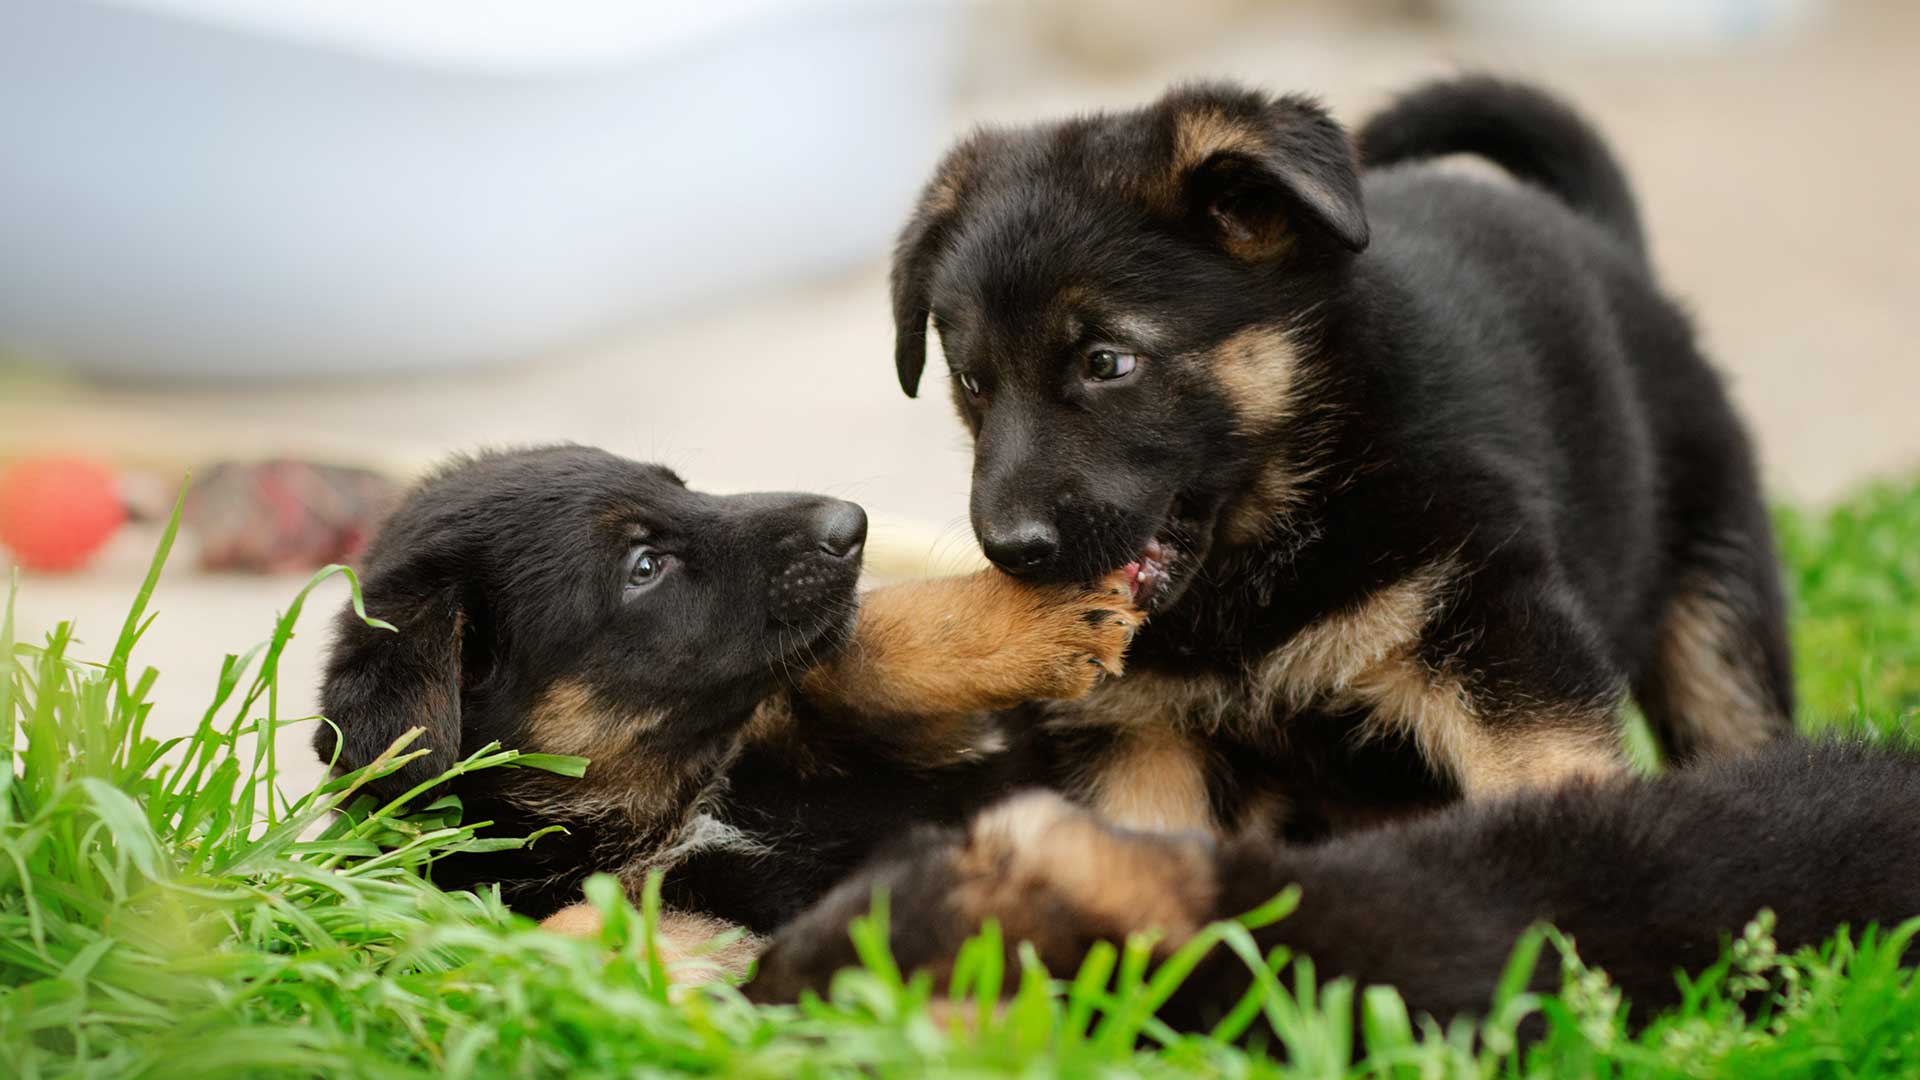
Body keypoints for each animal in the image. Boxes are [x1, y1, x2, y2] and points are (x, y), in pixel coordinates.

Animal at [314, 445, 1136, 968]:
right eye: (644, 566)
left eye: (682, 487)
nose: (851, 523)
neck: (679, 794)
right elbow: (587, 923)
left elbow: (866, 649)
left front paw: (1051, 617)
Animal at [890, 75, 1789, 834]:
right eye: (972, 383)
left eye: (1107, 362)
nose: (1012, 551)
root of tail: (1606, 241)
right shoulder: (1134, 732)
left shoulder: (1493, 628)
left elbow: (1547, 777)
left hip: (1716, 622)